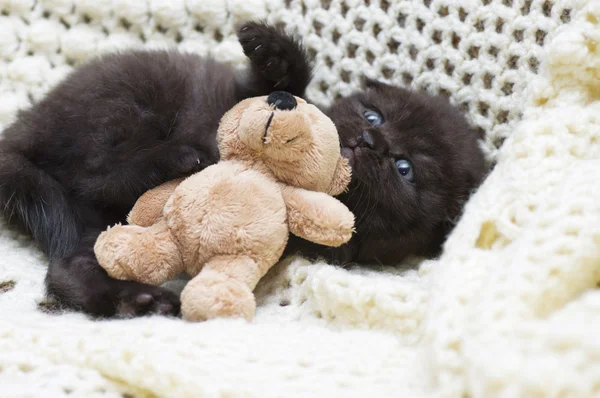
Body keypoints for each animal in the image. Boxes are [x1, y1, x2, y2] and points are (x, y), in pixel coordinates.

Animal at [0, 22, 488, 320]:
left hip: (90, 212)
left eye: (405, 168)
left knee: (72, 260)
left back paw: (135, 297)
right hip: (125, 100)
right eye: (373, 115)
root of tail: (22, 131)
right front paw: (274, 53)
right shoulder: (242, 94)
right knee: (95, 174)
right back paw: (181, 157)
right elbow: (278, 86)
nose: (369, 141)